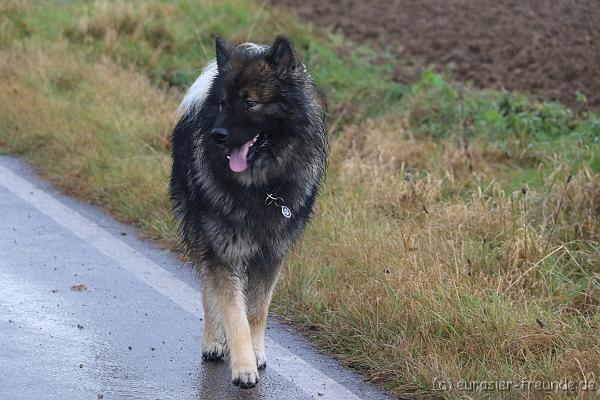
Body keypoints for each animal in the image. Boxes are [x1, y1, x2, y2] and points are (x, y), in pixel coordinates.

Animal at [169, 36, 328, 388]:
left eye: (251, 102)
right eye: (222, 104)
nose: (216, 135)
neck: (260, 186)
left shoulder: (271, 255)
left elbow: (256, 311)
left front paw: (255, 353)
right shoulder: (222, 251)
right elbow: (234, 313)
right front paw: (243, 367)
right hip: (201, 233)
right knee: (208, 290)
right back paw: (213, 340)